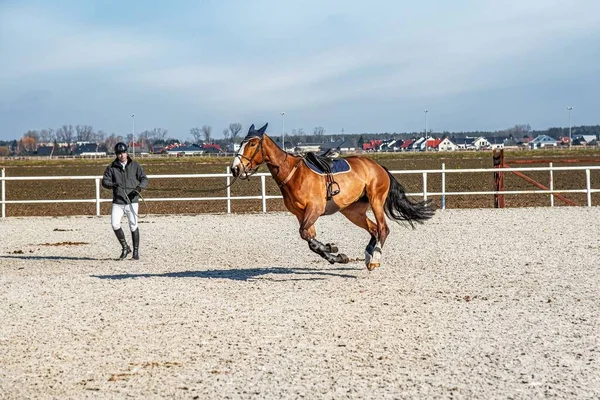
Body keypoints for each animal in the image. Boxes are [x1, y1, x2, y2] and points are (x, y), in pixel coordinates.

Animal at [231, 123, 436, 270]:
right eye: (240, 143)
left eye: (252, 143)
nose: (235, 169)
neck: (293, 174)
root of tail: (378, 167)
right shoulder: (301, 214)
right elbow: (310, 239)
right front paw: (335, 253)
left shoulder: (314, 209)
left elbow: (306, 235)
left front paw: (331, 250)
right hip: (353, 211)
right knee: (373, 229)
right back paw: (368, 254)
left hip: (376, 200)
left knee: (383, 229)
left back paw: (374, 259)